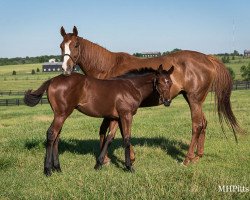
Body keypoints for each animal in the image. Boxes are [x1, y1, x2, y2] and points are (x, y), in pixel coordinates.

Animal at [24, 65, 173, 175]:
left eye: (170, 82)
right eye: (159, 82)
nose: (167, 101)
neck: (131, 87)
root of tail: (52, 80)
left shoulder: (115, 118)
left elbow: (109, 139)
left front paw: (99, 164)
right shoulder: (126, 115)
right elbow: (126, 139)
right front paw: (129, 167)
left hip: (61, 114)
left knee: (57, 137)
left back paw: (58, 168)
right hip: (61, 114)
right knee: (51, 134)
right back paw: (48, 170)